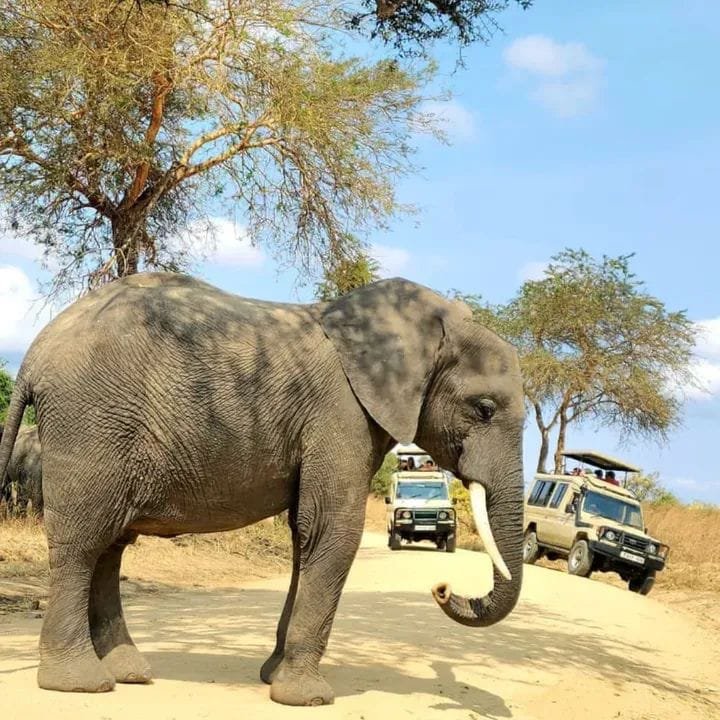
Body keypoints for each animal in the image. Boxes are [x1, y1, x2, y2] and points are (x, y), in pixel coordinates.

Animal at [0, 273, 525, 706]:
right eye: (483, 409)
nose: (441, 586)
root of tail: (34, 354)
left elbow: (305, 535)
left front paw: (274, 677)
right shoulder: (340, 413)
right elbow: (332, 531)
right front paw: (307, 698)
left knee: (110, 546)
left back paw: (129, 672)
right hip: (90, 423)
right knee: (83, 544)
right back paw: (80, 683)